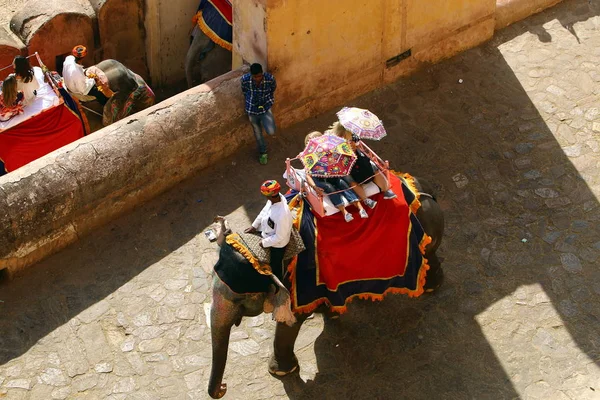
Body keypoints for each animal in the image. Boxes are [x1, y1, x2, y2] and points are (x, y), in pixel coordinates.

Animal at [204, 176, 442, 400]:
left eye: (239, 300)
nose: (223, 388)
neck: (258, 250)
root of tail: (419, 186)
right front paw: (331, 314)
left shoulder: (299, 279)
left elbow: (292, 321)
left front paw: (279, 372)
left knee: (429, 252)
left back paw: (431, 289)